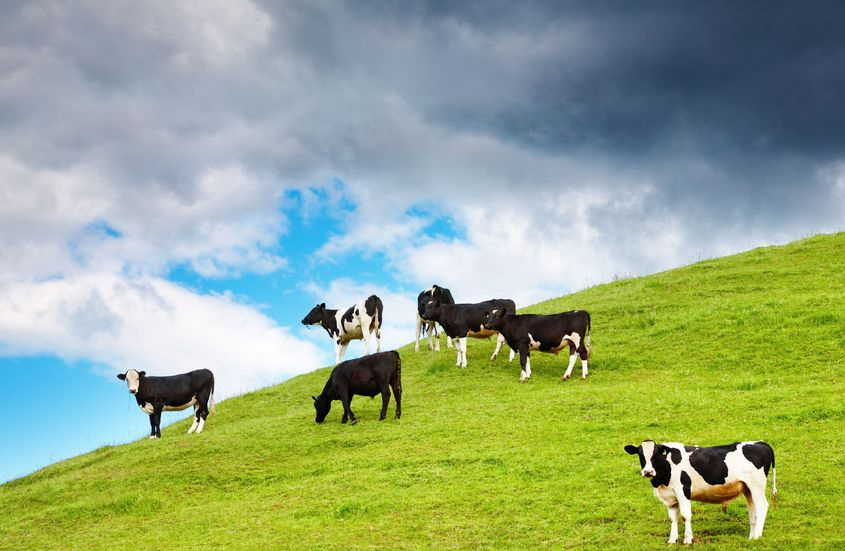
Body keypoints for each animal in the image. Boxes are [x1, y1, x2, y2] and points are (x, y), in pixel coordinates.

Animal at [624, 440, 776, 544]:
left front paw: (688, 539)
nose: (648, 472)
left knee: (762, 507)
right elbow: (673, 518)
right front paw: (672, 540)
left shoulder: (683, 490)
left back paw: (757, 537)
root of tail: (759, 443)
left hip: (757, 486)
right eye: (640, 455)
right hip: (748, 489)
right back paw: (751, 537)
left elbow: (685, 516)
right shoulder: (670, 497)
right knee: (752, 511)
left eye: (655, 454)